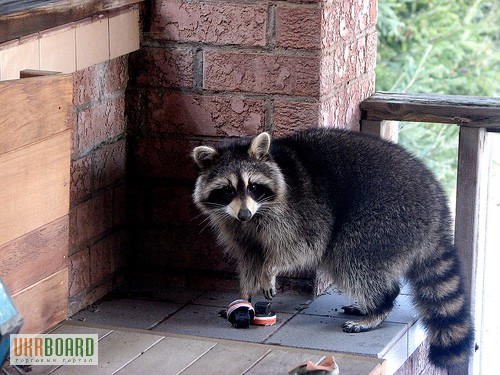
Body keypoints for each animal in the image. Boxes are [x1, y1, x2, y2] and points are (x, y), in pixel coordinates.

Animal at [190, 128, 472, 368]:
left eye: (253, 186)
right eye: (227, 190)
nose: (245, 214)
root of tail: (437, 204)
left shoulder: (301, 212)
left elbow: (302, 246)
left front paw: (270, 270)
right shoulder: (235, 227)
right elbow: (249, 258)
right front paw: (245, 295)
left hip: (384, 218)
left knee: (353, 260)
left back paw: (379, 306)